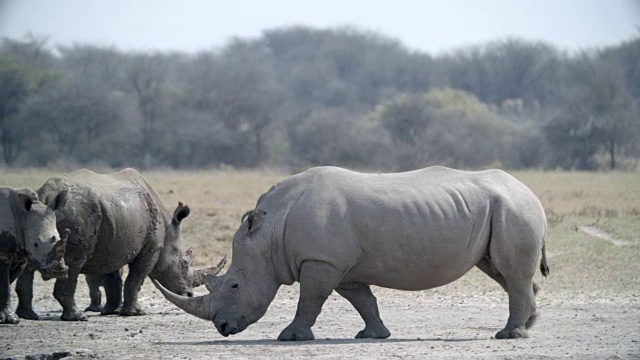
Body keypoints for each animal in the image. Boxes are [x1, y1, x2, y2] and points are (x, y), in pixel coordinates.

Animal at [0, 188, 68, 324]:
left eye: (59, 238)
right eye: (36, 244)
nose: (57, 271)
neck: (22, 216)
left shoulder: (20, 256)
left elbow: (7, 283)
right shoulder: (3, 254)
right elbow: (5, 287)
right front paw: (11, 320)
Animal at [15, 169, 225, 320]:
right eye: (183, 263)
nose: (189, 294)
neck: (168, 227)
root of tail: (47, 195)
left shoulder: (113, 242)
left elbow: (112, 279)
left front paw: (110, 311)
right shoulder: (151, 248)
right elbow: (136, 278)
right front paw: (135, 313)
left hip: (35, 216)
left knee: (30, 264)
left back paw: (28, 316)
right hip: (76, 213)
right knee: (73, 264)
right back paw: (76, 317)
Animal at [156, 166, 552, 340]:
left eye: (234, 285)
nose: (223, 328)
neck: (269, 233)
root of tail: (529, 191)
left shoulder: (320, 260)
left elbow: (310, 300)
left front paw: (290, 337)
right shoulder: (338, 264)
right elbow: (362, 299)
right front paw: (374, 336)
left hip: (514, 209)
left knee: (510, 272)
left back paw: (509, 336)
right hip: (503, 209)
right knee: (501, 271)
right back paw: (528, 325)